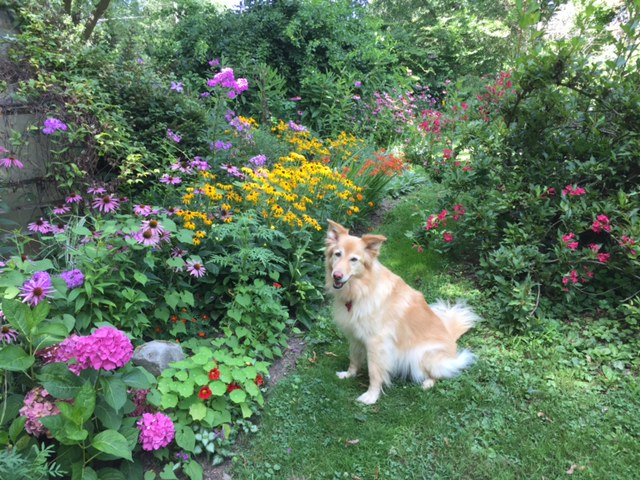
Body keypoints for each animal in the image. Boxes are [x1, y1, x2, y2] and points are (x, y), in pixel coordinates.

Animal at [324, 221, 476, 404]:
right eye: (337, 254)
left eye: (354, 259)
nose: (337, 276)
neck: (362, 290)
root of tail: (452, 338)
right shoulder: (355, 336)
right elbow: (354, 359)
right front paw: (349, 374)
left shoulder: (376, 343)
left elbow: (374, 372)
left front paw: (371, 396)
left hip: (421, 355)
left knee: (441, 373)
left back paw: (427, 383)